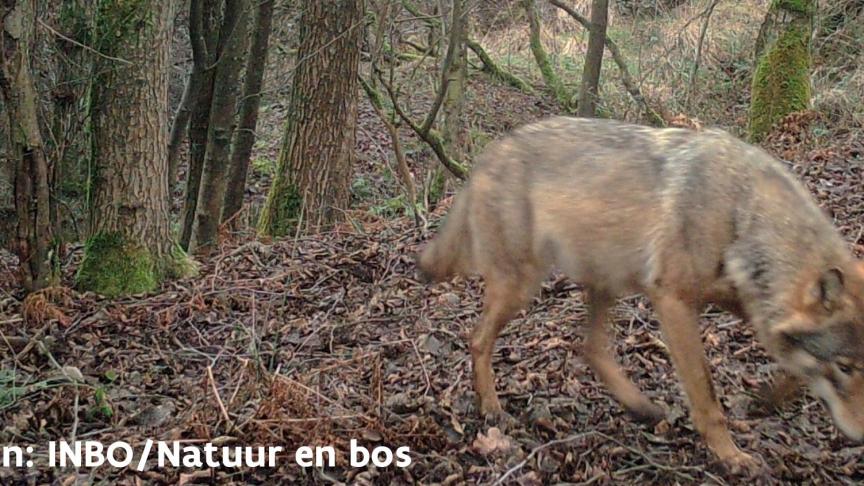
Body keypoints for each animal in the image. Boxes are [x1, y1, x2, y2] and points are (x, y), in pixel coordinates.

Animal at [416, 117, 864, 474]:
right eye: (845, 367)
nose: (860, 437)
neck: (742, 213)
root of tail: (490, 151)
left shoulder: (748, 305)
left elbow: (792, 367)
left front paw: (768, 399)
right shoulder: (674, 301)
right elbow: (706, 394)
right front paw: (730, 455)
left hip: (603, 281)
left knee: (590, 349)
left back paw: (641, 407)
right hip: (522, 286)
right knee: (478, 339)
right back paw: (492, 408)